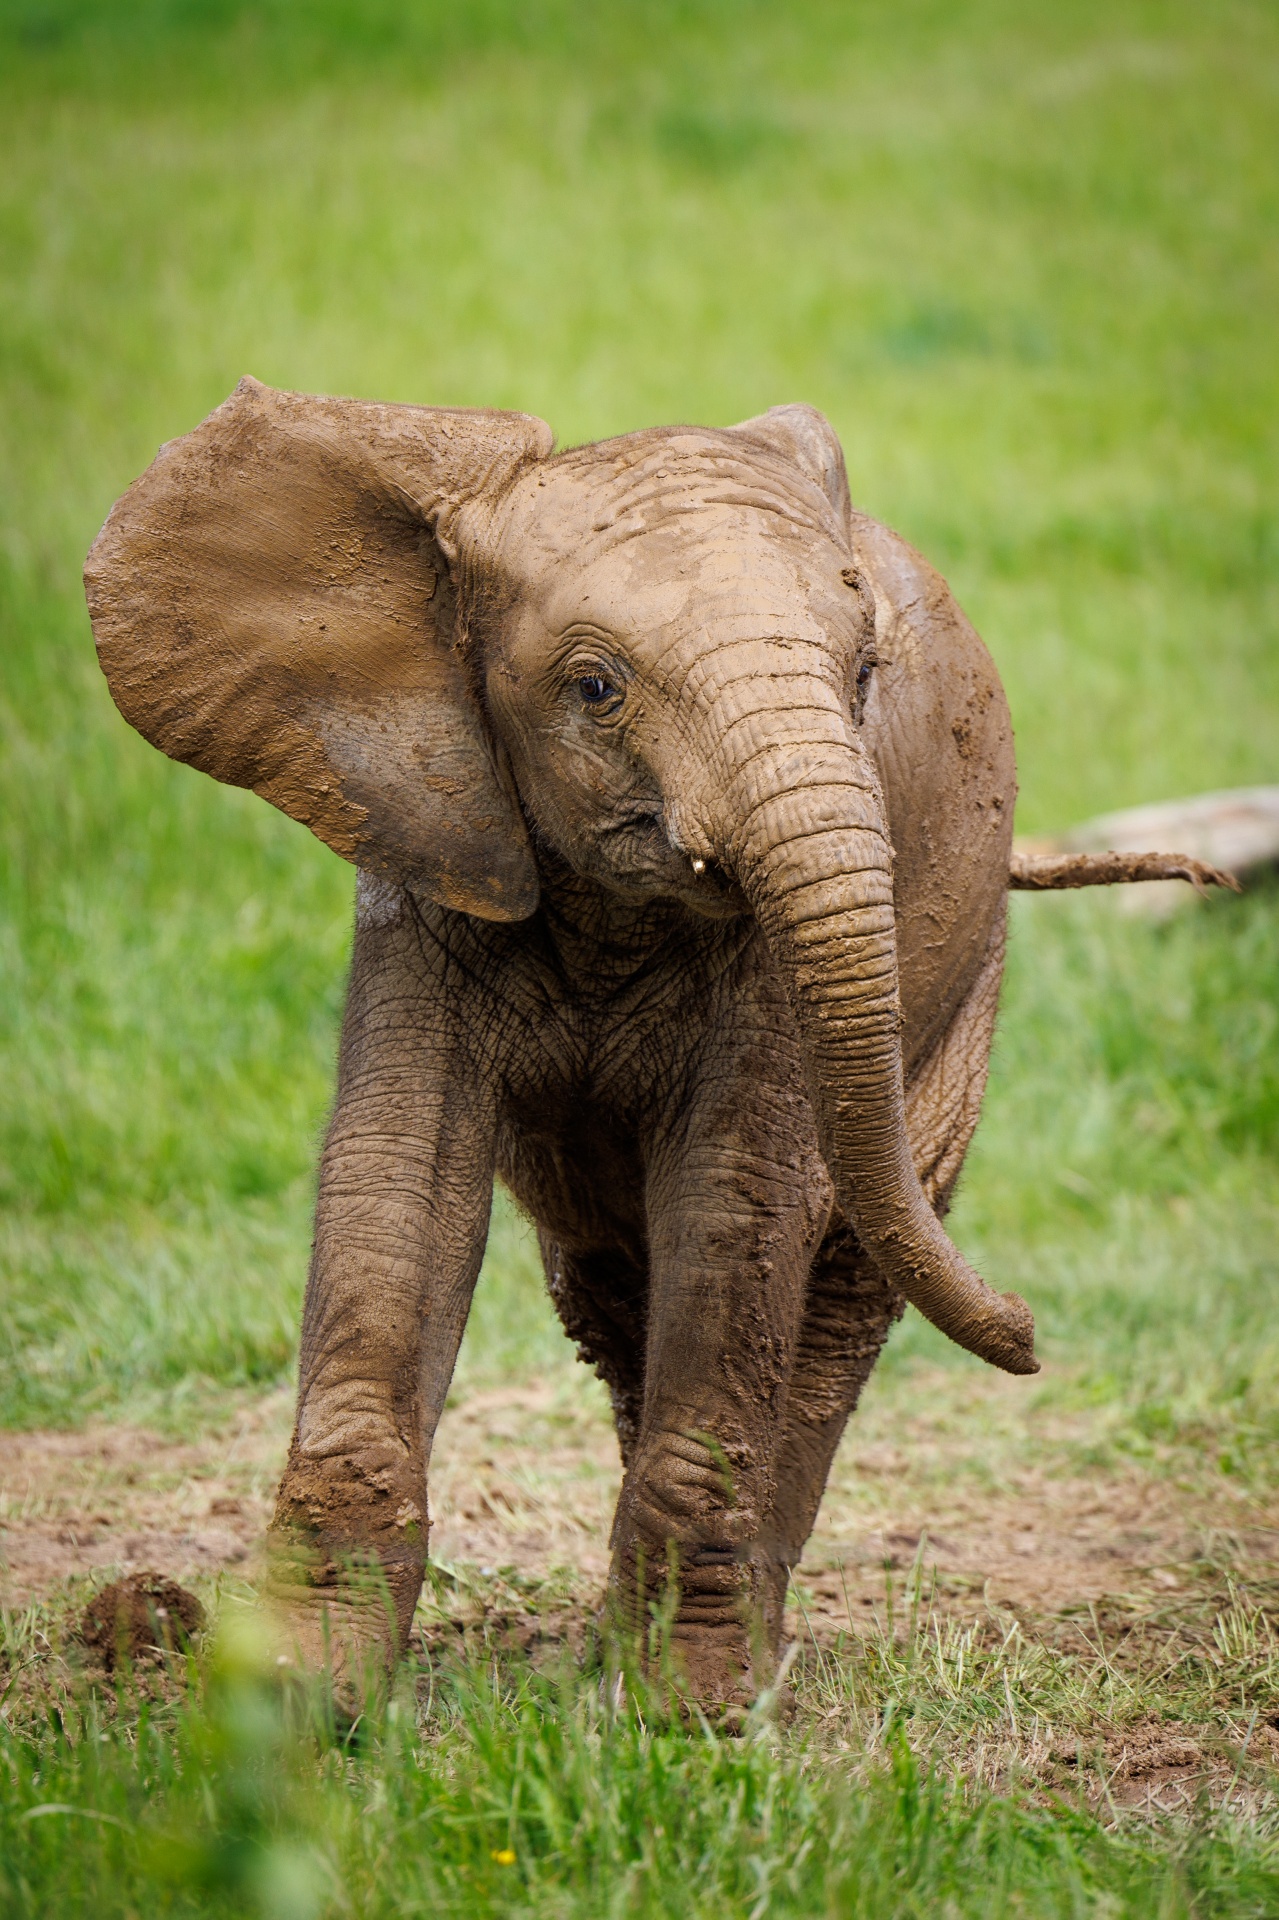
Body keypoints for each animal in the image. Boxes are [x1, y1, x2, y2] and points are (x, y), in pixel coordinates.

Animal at [87, 382, 1044, 1704]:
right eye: (595, 689)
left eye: (863, 672)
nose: (1033, 1332)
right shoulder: (427, 834)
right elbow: (400, 1179)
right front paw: (293, 1696)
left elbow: (739, 1197)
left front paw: (690, 1710)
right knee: (610, 1282)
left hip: (969, 976)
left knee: (844, 1289)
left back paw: (741, 1646)